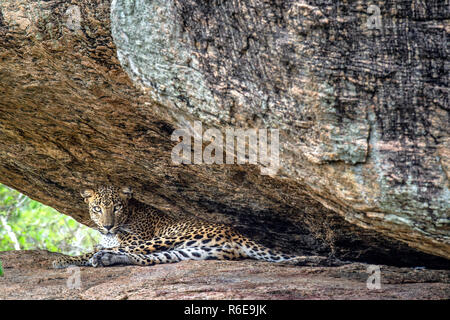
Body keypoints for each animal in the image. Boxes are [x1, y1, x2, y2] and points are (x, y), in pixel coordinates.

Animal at [51, 185, 342, 268]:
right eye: (97, 209)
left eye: (117, 207)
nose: (108, 226)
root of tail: (236, 233)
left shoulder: (136, 238)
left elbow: (93, 248)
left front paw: (64, 259)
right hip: (191, 251)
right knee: (146, 259)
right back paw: (106, 258)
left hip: (172, 238)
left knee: (130, 253)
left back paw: (100, 257)